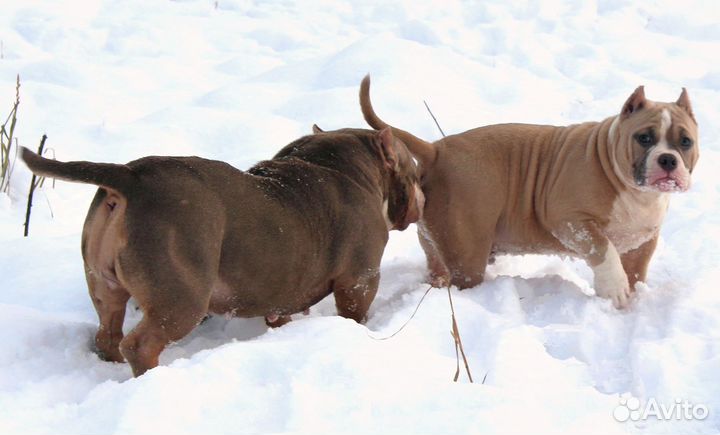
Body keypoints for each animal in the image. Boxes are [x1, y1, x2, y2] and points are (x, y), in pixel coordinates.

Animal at [22, 127, 424, 378]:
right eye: (416, 174)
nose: (423, 195)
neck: (337, 163)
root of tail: (129, 177)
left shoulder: (284, 298)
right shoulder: (359, 280)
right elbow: (354, 313)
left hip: (105, 288)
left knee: (108, 332)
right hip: (181, 298)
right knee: (140, 344)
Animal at [360, 77, 696, 310]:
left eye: (686, 142)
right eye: (644, 138)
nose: (668, 160)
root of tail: (436, 150)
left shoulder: (643, 241)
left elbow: (636, 271)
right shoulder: (570, 221)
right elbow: (604, 250)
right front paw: (614, 288)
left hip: (437, 238)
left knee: (437, 266)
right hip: (468, 252)